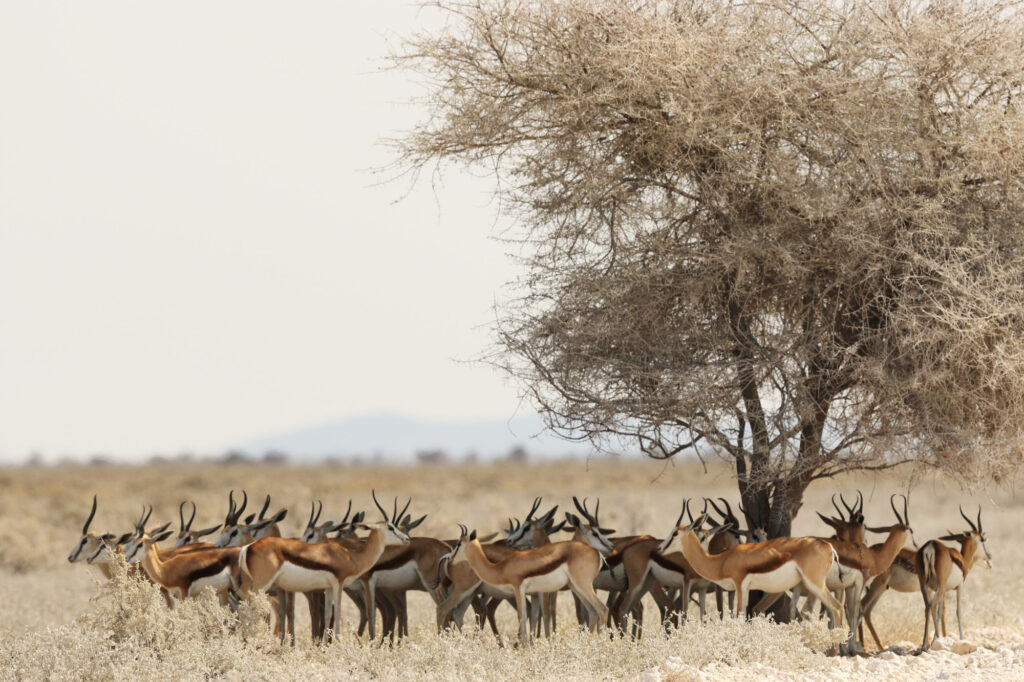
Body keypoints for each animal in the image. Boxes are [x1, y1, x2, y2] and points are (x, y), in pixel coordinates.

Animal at [237, 491, 410, 643]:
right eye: (390, 527)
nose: (407, 539)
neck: (351, 556)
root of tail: (248, 547)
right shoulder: (338, 584)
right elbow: (338, 612)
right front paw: (338, 644)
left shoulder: (328, 587)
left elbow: (327, 614)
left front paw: (325, 645)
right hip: (261, 585)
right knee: (249, 609)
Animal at [446, 524, 608, 644]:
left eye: (459, 544)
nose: (450, 559)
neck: (501, 568)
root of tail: (596, 553)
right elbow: (529, 616)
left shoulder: (518, 589)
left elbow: (522, 617)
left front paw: (524, 647)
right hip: (576, 587)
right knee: (593, 612)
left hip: (583, 586)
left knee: (603, 609)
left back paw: (600, 644)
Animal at [917, 506, 993, 651]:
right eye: (982, 539)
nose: (989, 555)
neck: (961, 559)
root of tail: (931, 545)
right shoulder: (959, 587)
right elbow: (958, 611)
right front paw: (961, 639)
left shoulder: (943, 590)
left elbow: (941, 611)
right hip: (939, 585)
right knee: (932, 605)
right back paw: (936, 640)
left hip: (924, 585)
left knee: (927, 606)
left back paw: (924, 645)